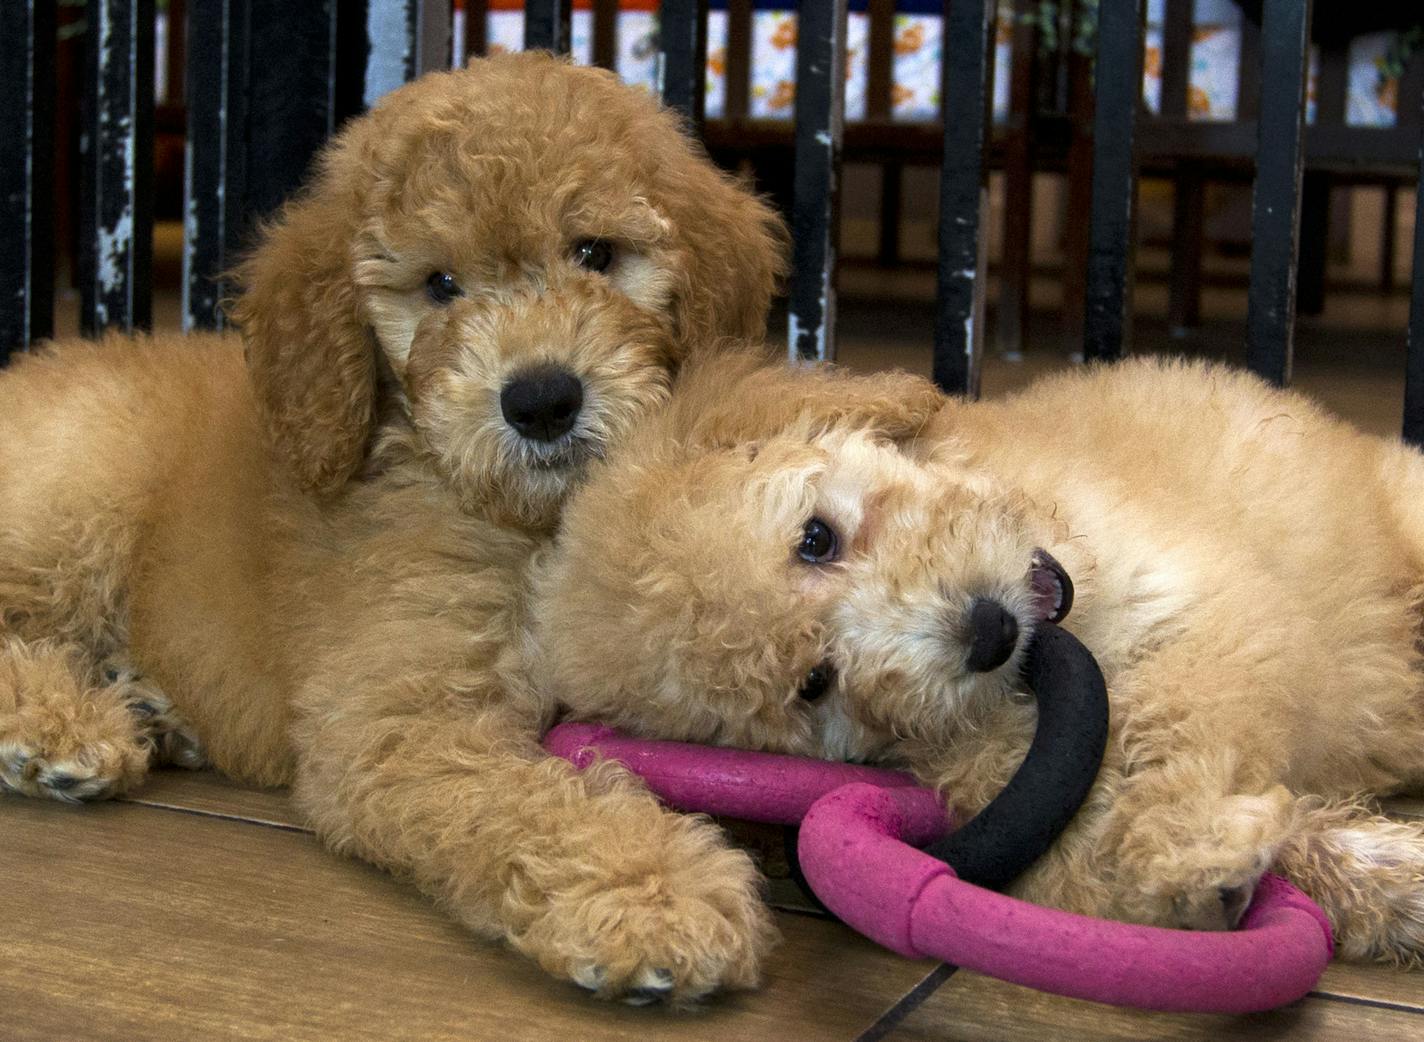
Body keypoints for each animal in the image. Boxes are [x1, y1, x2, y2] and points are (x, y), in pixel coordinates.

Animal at [0, 54, 786, 1002]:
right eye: (440, 286)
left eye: (596, 254)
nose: (542, 400)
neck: (531, 522)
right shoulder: (401, 718)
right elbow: (523, 799)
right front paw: (650, 892)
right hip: (80, 493)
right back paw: (63, 723)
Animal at [532, 351, 1424, 967]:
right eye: (814, 685)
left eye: (815, 540)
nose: (988, 632)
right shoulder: (996, 777)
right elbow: (1092, 830)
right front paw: (1215, 865)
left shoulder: (1213, 607)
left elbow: (1180, 704)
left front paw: (1185, 837)